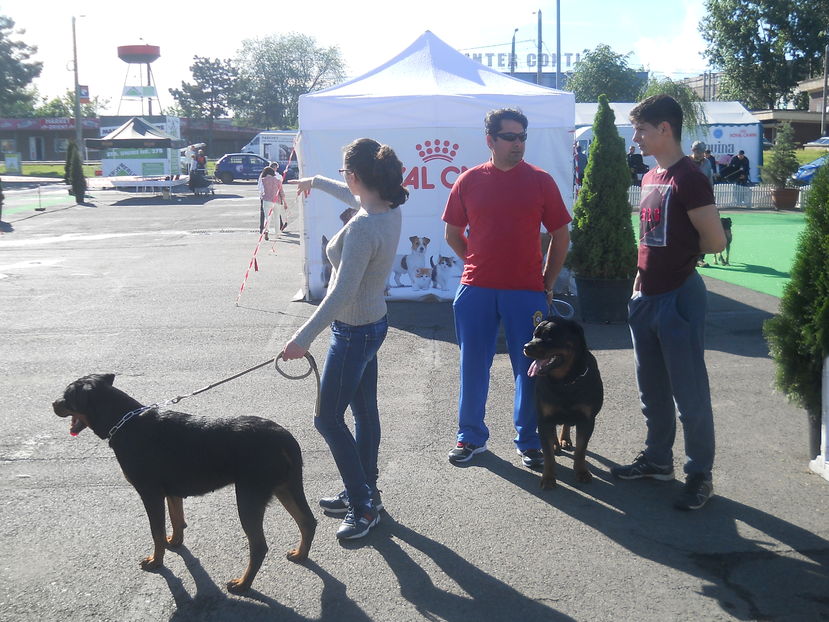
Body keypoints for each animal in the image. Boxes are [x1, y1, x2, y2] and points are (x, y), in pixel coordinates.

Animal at [51, 376, 316, 596]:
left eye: (67, 396)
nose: (52, 403)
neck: (124, 422)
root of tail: (284, 437)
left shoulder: (150, 493)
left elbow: (156, 531)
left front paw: (156, 561)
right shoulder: (171, 492)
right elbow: (176, 519)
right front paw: (175, 542)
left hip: (250, 495)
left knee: (259, 546)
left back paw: (243, 585)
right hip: (286, 487)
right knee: (307, 521)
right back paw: (300, 554)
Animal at [524, 322, 600, 492]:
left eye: (549, 337)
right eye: (534, 334)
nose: (526, 346)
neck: (564, 382)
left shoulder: (587, 420)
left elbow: (581, 449)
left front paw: (581, 472)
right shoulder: (544, 419)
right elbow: (547, 455)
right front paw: (548, 478)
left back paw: (564, 439)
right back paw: (556, 444)